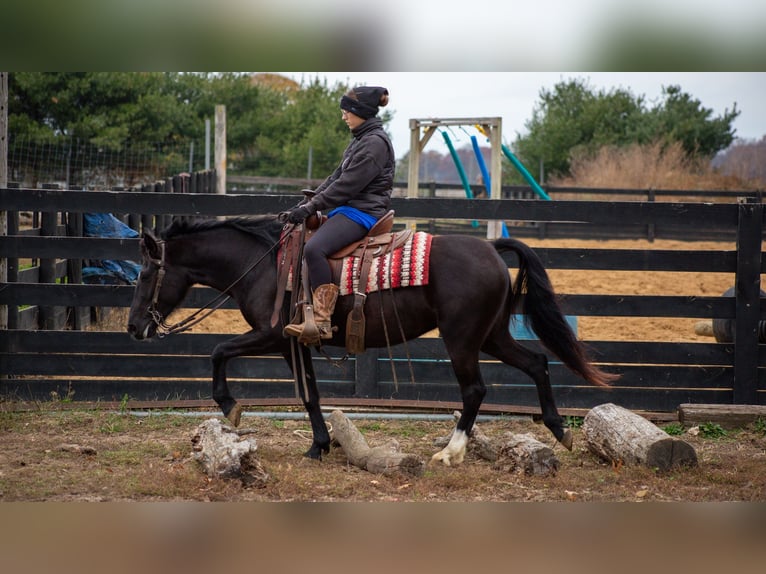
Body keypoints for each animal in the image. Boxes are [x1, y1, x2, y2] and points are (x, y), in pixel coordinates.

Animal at [127, 215, 616, 466]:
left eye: (146, 274)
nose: (134, 328)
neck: (264, 265)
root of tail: (491, 249)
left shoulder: (271, 336)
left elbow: (219, 351)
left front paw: (230, 405)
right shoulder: (295, 344)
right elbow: (311, 395)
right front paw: (319, 445)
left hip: (462, 339)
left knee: (475, 389)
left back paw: (452, 452)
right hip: (491, 336)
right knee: (537, 363)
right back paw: (558, 430)